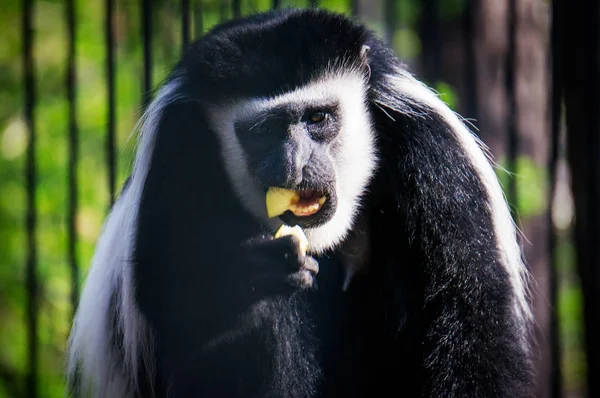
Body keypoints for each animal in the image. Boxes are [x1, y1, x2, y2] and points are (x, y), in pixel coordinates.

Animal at [65, 7, 536, 398]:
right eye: (263, 131)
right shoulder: (177, 146)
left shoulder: (434, 153)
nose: (293, 165)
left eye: (318, 118)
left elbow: (468, 318)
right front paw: (248, 274)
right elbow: (162, 287)